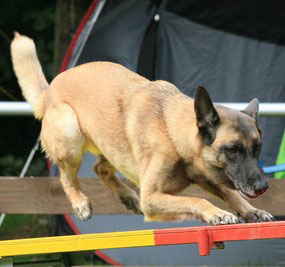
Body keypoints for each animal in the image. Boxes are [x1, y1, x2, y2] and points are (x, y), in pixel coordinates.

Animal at [11, 33, 272, 226]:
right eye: (233, 149)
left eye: (258, 148)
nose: (263, 188)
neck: (172, 131)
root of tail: (50, 91)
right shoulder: (153, 198)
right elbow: (197, 200)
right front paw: (218, 213)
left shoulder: (207, 177)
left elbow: (230, 192)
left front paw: (251, 210)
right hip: (70, 131)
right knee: (67, 178)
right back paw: (80, 202)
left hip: (113, 147)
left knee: (100, 169)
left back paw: (128, 196)